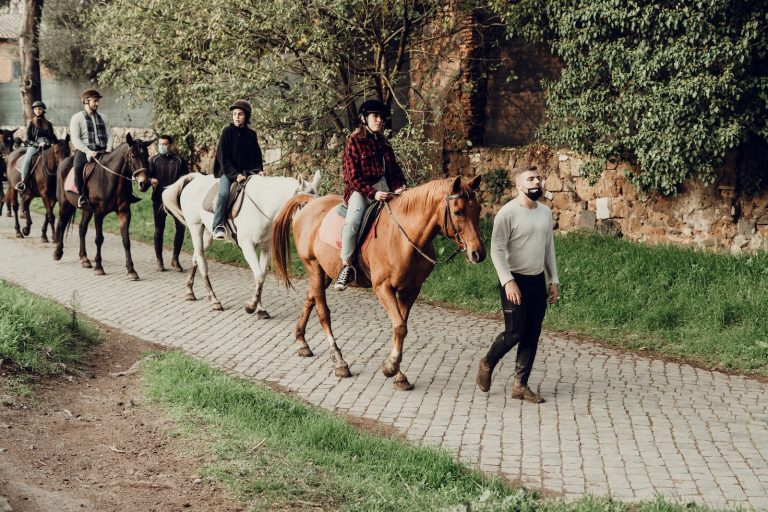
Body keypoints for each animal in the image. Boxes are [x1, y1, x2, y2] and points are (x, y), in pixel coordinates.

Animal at [53, 134, 152, 280]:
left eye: (147, 155)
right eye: (133, 156)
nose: (144, 184)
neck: (110, 179)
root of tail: (63, 163)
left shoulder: (124, 212)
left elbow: (126, 240)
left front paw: (131, 270)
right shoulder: (98, 213)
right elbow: (99, 239)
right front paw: (99, 267)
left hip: (87, 210)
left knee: (82, 229)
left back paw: (84, 259)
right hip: (65, 205)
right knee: (61, 224)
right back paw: (58, 253)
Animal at [161, 170, 321, 318]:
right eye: (303, 204)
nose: (315, 229)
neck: (263, 203)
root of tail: (195, 179)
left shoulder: (266, 248)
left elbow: (261, 277)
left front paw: (260, 309)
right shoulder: (247, 246)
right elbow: (259, 275)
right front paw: (251, 307)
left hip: (207, 236)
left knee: (195, 257)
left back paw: (189, 292)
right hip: (196, 228)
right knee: (201, 262)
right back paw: (214, 301)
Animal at [270, 176, 485, 390]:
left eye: (478, 210)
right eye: (458, 211)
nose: (478, 253)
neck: (404, 238)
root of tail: (310, 203)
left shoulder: (410, 290)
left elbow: (399, 327)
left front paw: (398, 374)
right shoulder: (383, 288)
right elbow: (399, 326)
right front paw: (390, 368)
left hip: (325, 273)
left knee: (310, 297)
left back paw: (302, 343)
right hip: (314, 268)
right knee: (323, 313)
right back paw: (340, 363)